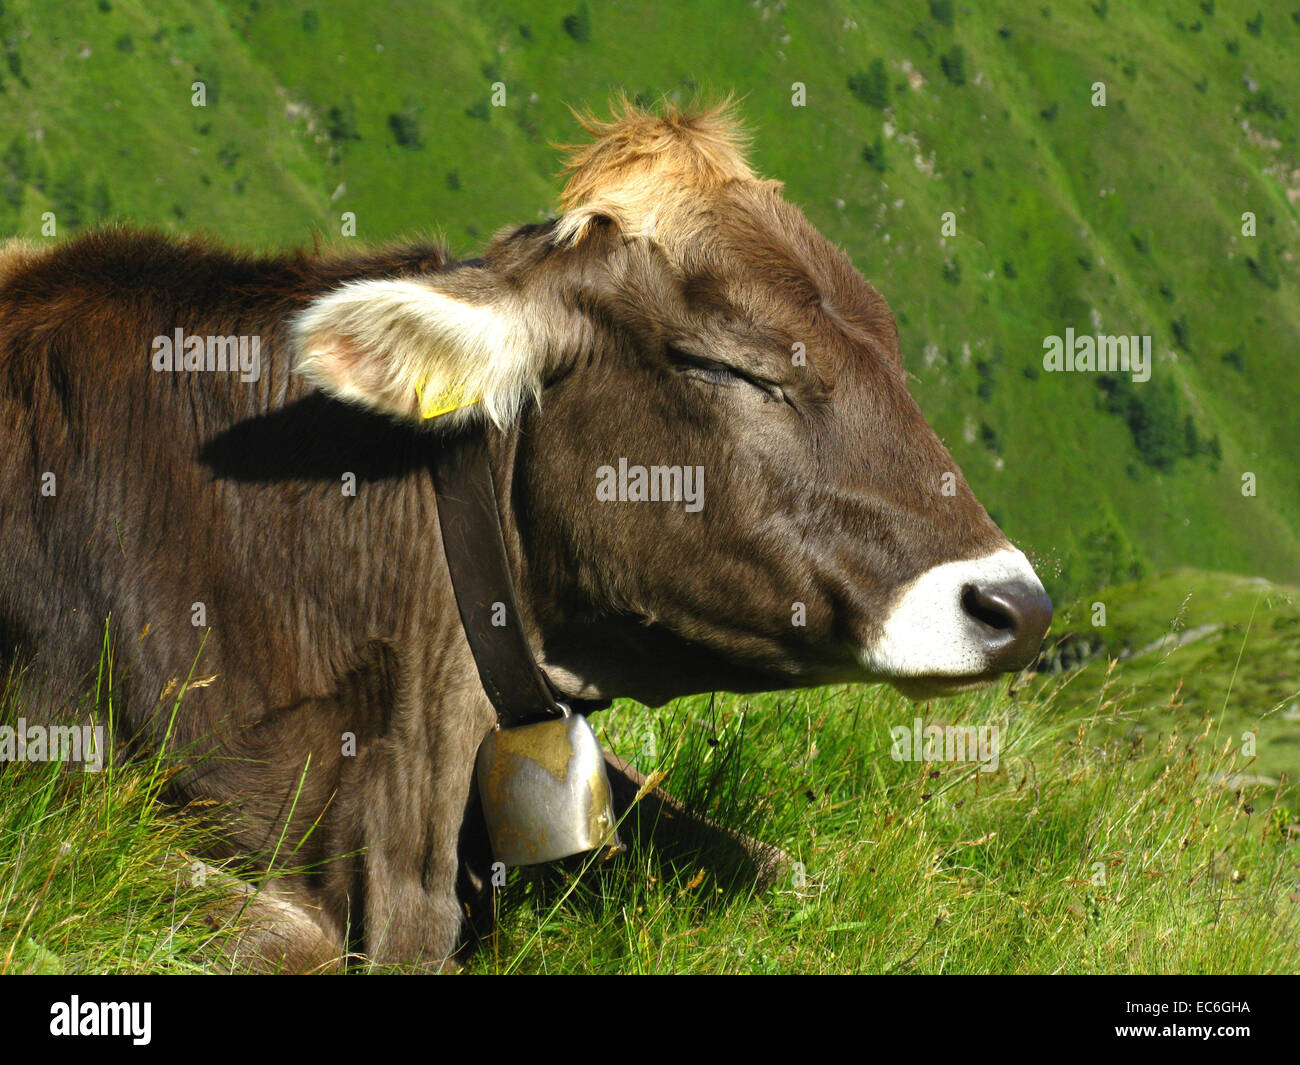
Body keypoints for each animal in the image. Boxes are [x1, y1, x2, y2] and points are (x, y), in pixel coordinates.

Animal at [0, 100, 1051, 971]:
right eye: (727, 366)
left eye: (893, 350)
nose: (1018, 606)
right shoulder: (56, 802)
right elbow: (283, 939)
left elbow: (779, 869)